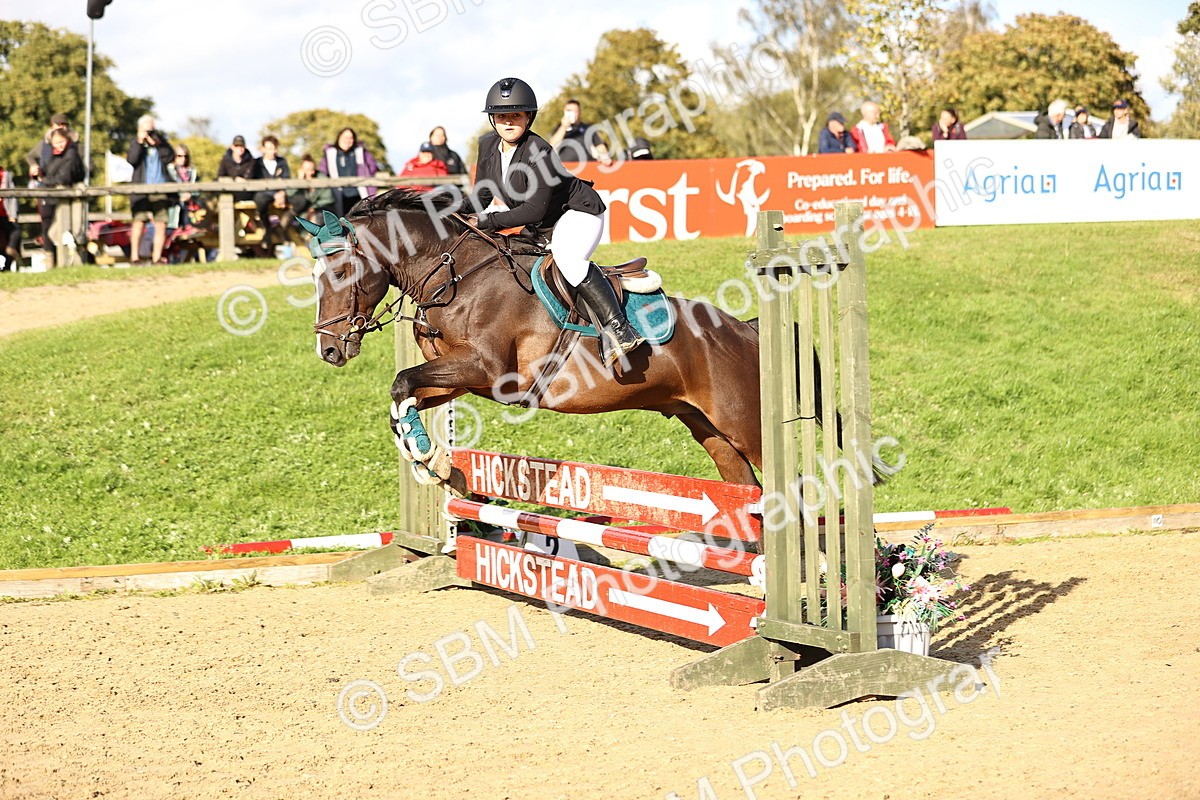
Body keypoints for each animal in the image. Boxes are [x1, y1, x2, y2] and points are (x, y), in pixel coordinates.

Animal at [302, 189, 825, 492]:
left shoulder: (487, 370)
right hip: (710, 429)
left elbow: (401, 382)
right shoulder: (459, 379)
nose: (329, 349)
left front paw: (430, 456)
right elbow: (403, 393)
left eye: (341, 271)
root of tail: (746, 329)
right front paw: (432, 460)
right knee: (749, 491)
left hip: (746, 424)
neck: (456, 274)